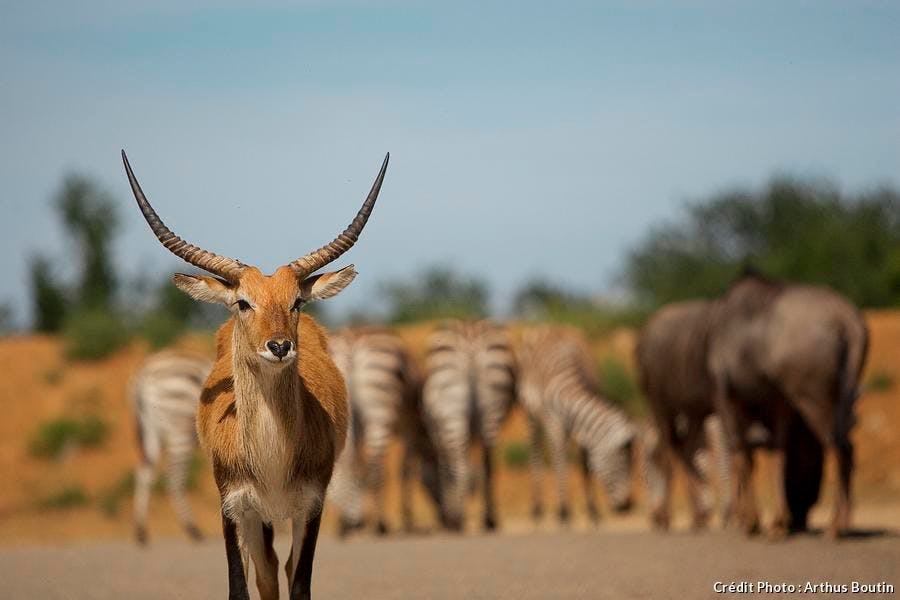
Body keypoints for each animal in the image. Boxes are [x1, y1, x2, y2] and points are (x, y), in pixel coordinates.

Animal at [122, 149, 388, 600]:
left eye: (297, 301)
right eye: (243, 302)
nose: (279, 346)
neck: (271, 460)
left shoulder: (310, 506)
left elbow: (299, 583)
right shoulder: (234, 507)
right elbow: (240, 585)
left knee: (279, 567)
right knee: (264, 570)